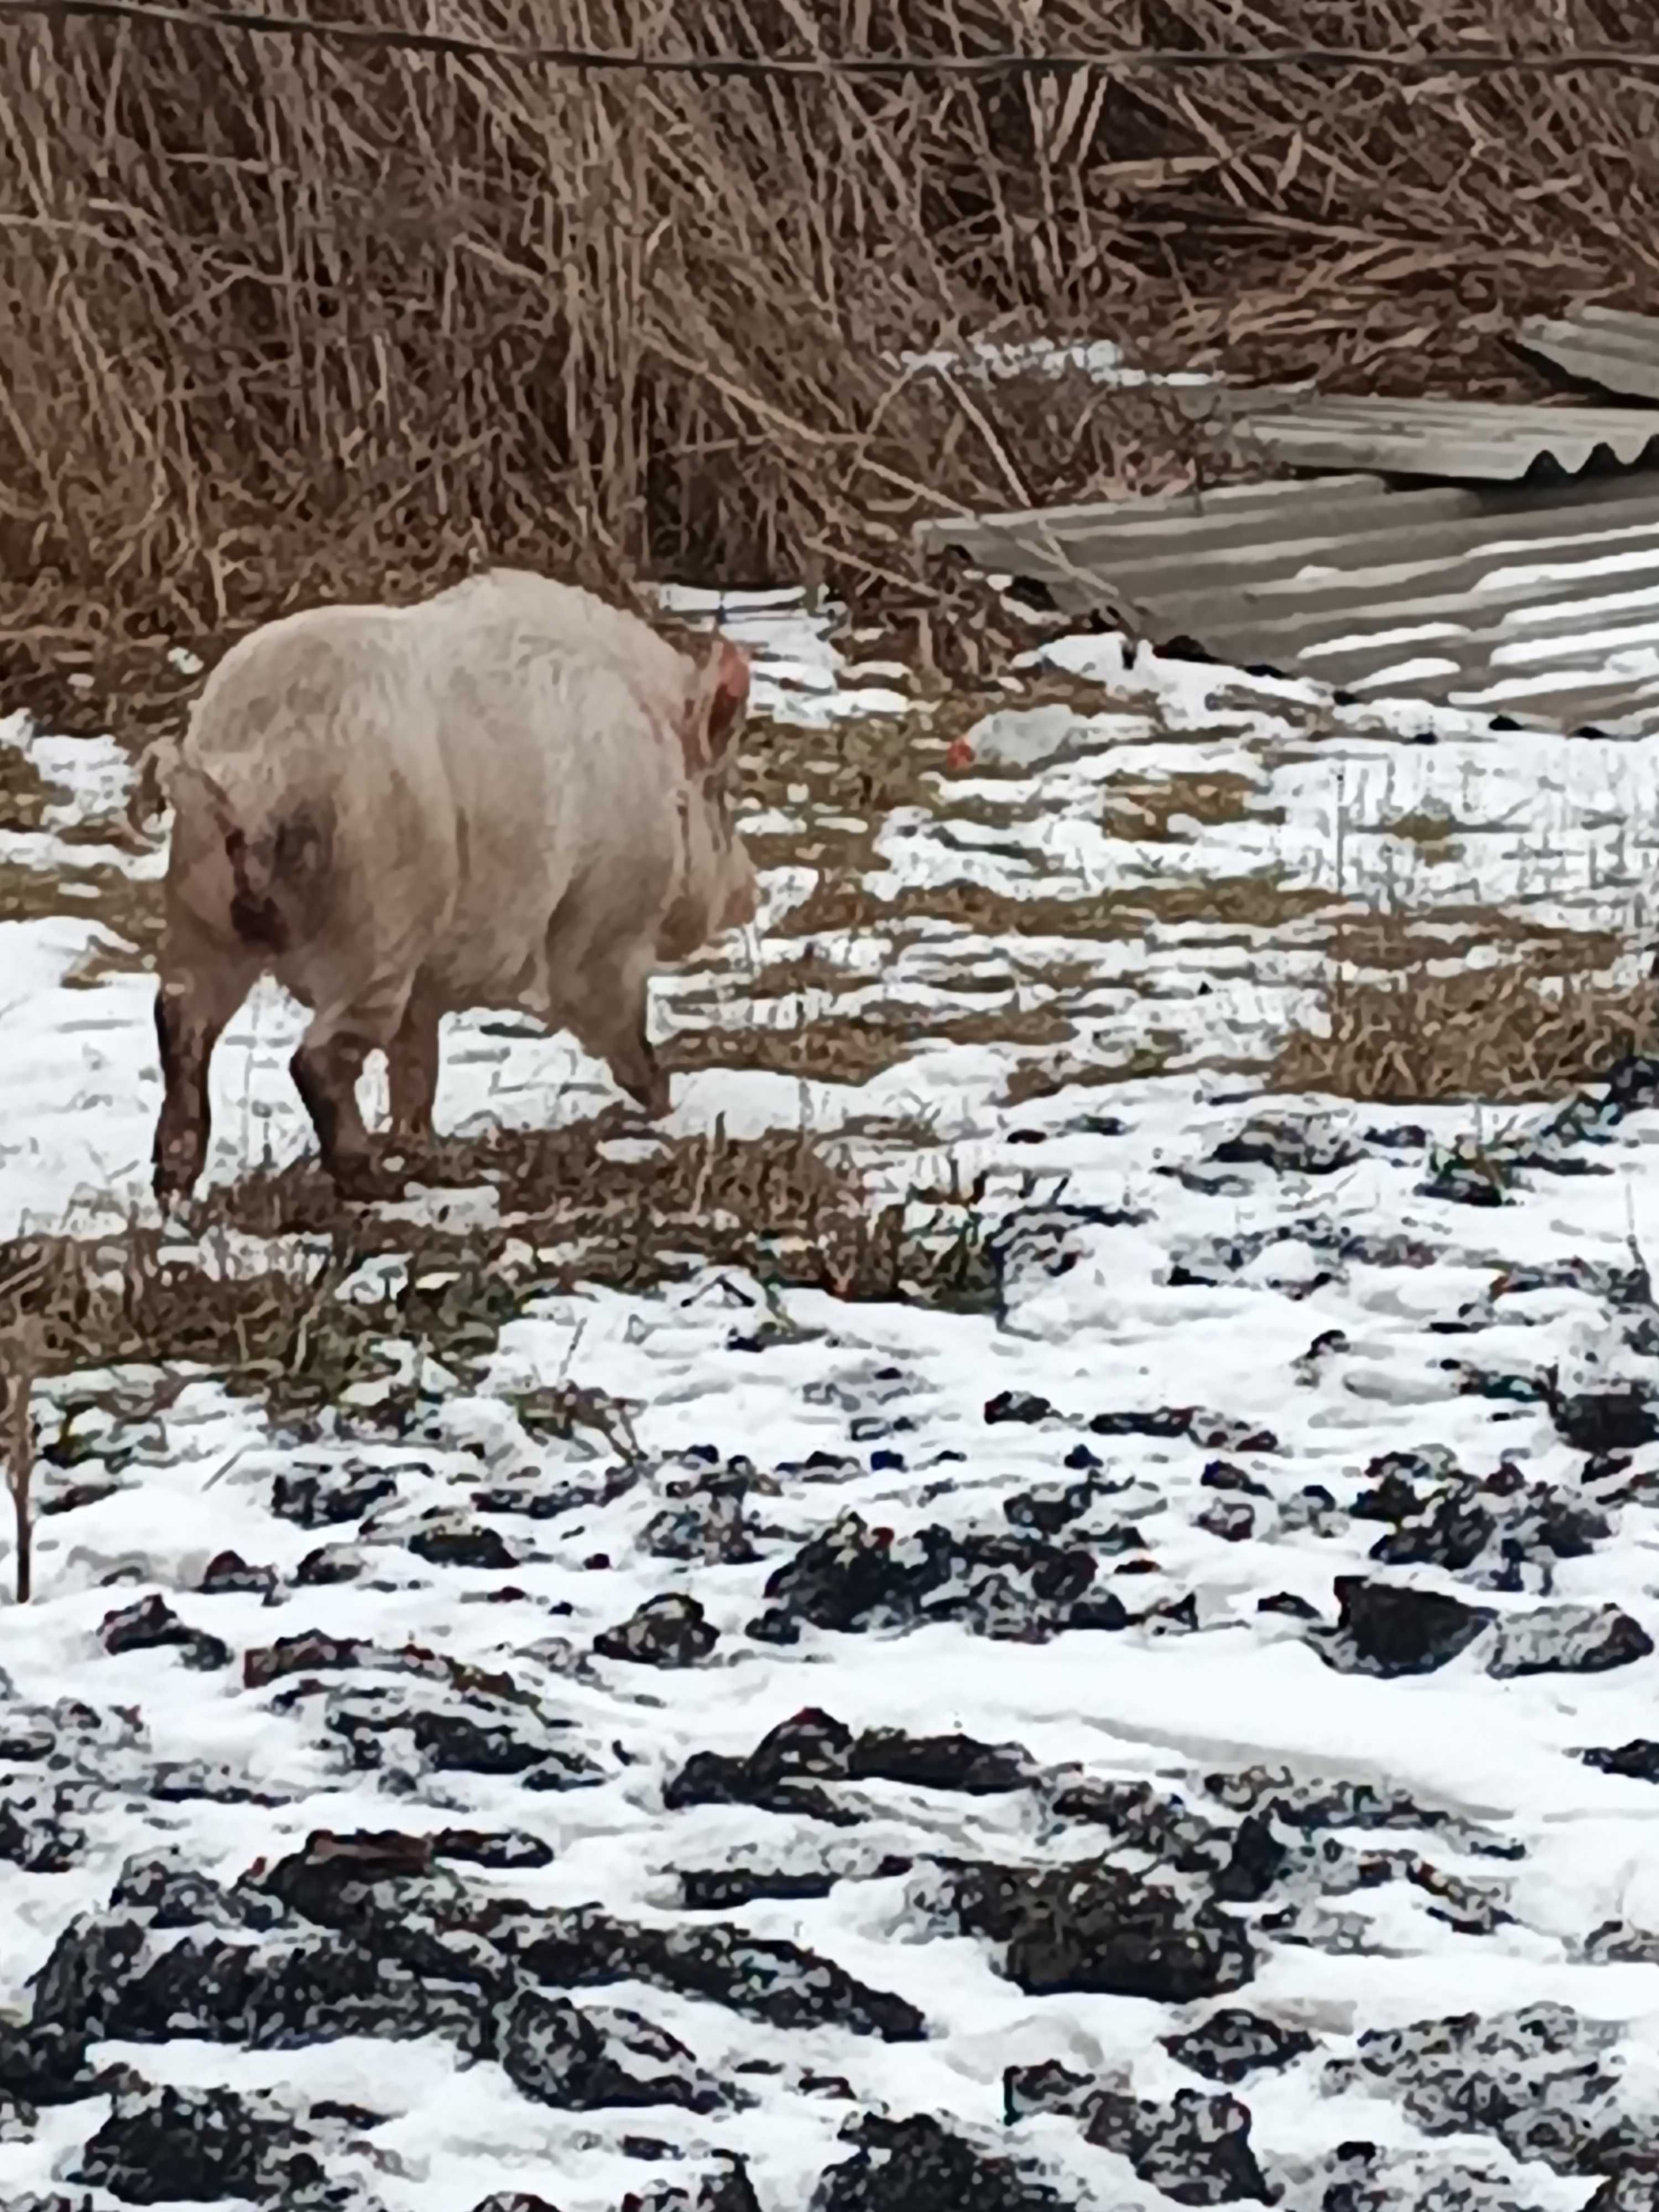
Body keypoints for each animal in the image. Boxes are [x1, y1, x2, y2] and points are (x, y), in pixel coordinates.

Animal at [130, 562, 765, 1203]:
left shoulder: (426, 988)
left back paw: (173, 1182)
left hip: (202, 907)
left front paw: (423, 1146)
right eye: (724, 794)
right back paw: (371, 1181)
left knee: (180, 1020)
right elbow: (620, 1027)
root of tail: (260, 763)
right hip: (376, 924)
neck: (661, 772)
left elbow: (417, 1066)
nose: (752, 892)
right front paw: (668, 1107)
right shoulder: (601, 932)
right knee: (316, 1059)